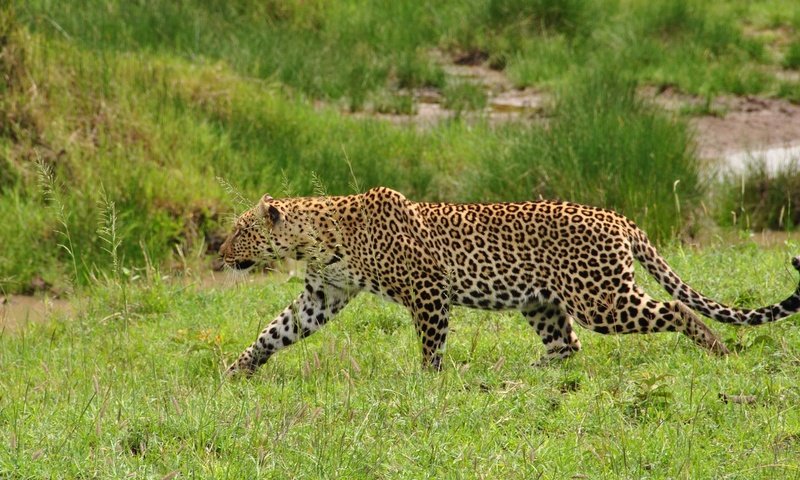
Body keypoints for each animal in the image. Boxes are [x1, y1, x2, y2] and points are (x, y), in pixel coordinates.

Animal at [219, 186, 800, 376]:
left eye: (240, 231)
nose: (220, 254)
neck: (315, 237)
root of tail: (619, 218)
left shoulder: (428, 290)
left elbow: (430, 344)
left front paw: (428, 382)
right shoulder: (324, 294)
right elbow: (276, 330)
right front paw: (237, 370)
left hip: (601, 298)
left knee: (675, 310)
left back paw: (718, 351)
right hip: (541, 302)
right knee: (567, 345)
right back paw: (529, 371)